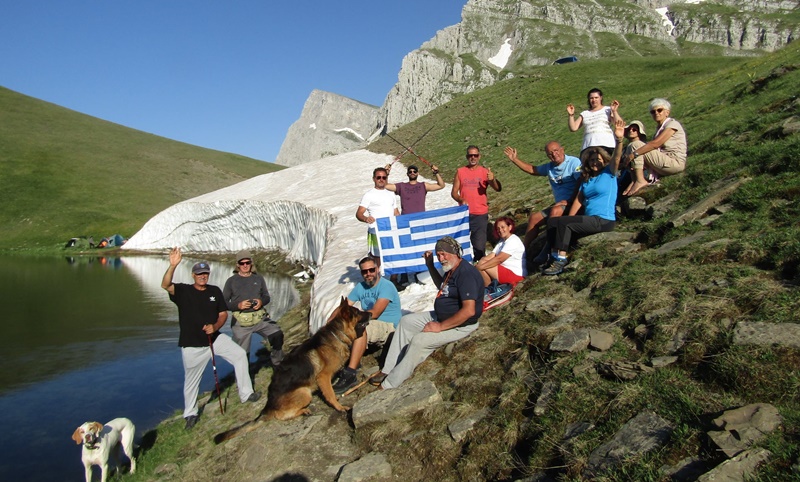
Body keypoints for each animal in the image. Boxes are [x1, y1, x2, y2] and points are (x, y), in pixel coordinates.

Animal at [216, 298, 372, 444]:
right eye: (358, 312)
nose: (371, 313)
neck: (337, 333)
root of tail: (268, 407)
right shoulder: (323, 377)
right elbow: (331, 395)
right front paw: (339, 407)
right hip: (304, 393)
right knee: (280, 415)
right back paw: (303, 410)